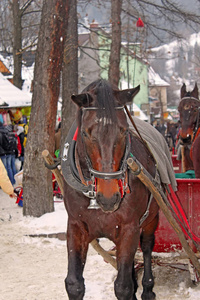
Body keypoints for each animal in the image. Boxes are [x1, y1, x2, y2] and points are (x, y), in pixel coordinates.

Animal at [62, 78, 161, 298]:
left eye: (124, 131)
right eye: (85, 133)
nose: (108, 198)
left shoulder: (129, 228)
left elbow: (123, 287)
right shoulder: (76, 225)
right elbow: (74, 283)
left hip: (152, 218)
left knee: (147, 246)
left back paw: (148, 287)